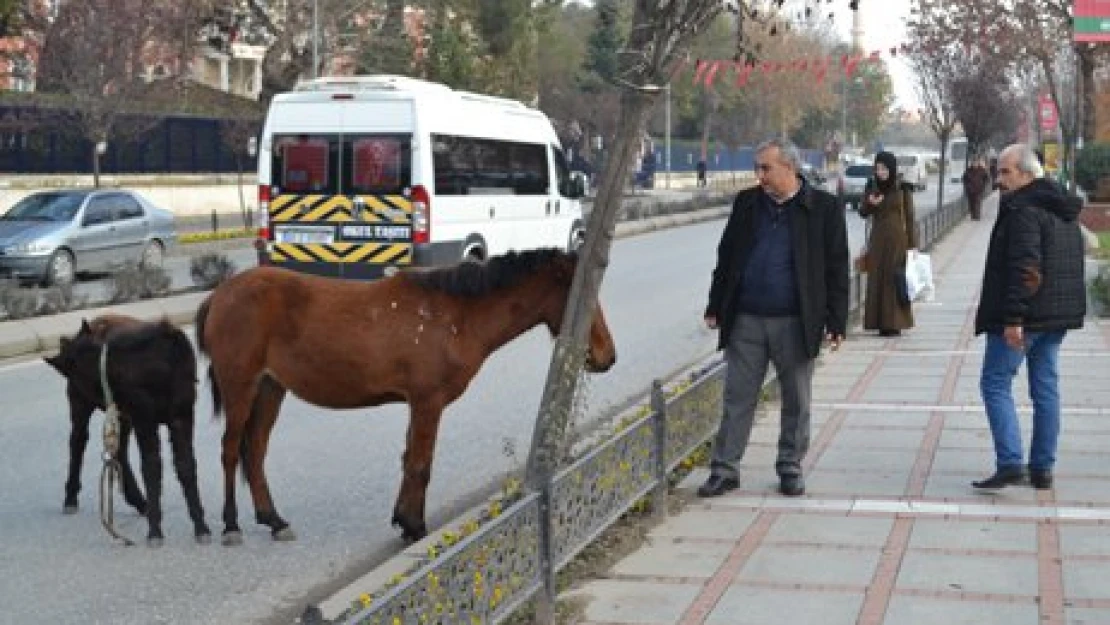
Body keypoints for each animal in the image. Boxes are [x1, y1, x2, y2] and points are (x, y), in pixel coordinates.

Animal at [197, 247, 617, 546]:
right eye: (585, 295)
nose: (607, 356)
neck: (455, 315)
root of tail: (220, 294)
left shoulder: (417, 404)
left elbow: (409, 459)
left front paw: (404, 519)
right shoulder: (428, 402)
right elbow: (420, 464)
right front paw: (415, 526)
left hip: (271, 388)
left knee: (255, 451)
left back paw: (273, 520)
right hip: (241, 387)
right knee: (231, 451)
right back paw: (231, 525)